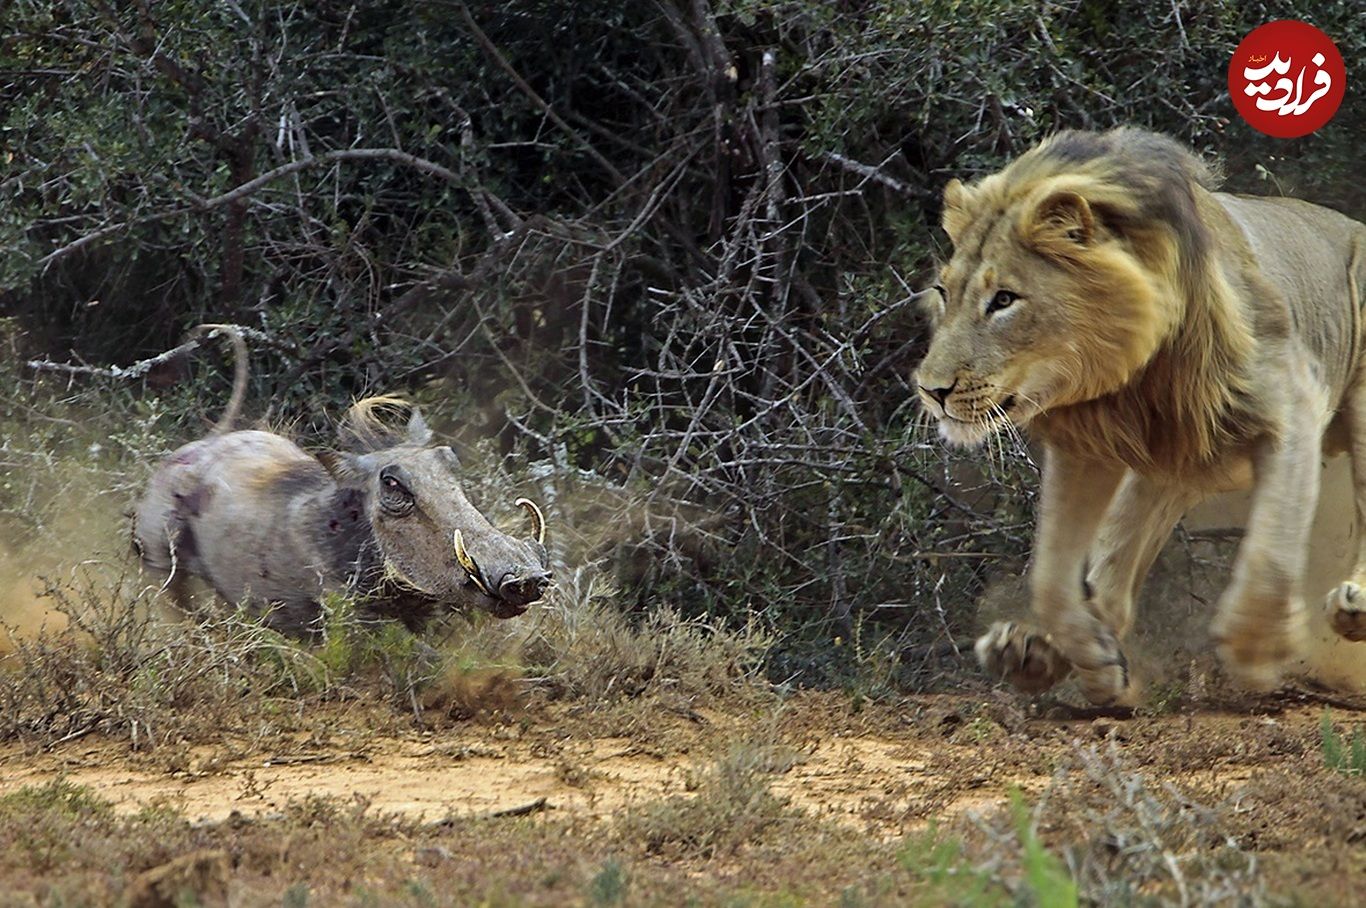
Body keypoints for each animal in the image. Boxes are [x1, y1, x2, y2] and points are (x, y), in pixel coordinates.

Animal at [917, 127, 1366, 704]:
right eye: (942, 291)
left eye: (1004, 300)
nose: (931, 390)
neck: (1130, 377)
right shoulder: (1085, 445)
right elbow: (1051, 576)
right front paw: (1096, 661)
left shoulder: (1292, 401)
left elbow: (1271, 552)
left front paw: (1257, 653)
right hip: (1173, 464)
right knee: (1113, 561)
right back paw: (1032, 653)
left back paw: (1354, 607)